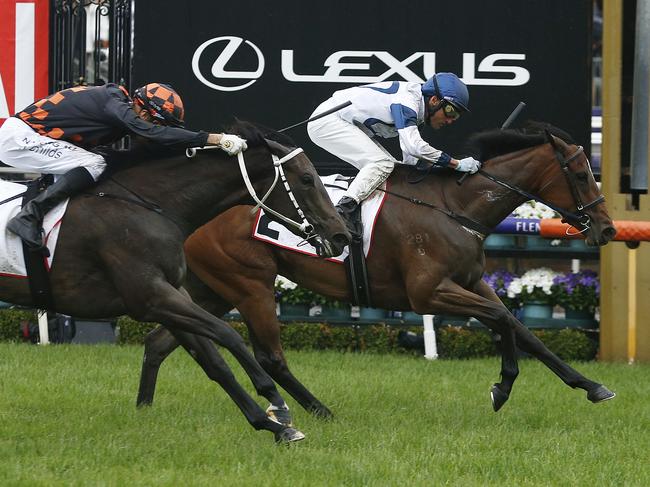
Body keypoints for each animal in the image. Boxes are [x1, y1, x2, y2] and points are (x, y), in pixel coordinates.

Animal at [0, 121, 350, 442]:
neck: (149, 207)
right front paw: (276, 402)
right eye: (307, 179)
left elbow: (212, 361)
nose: (341, 235)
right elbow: (228, 335)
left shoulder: (170, 294)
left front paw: (273, 425)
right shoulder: (150, 296)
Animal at [135, 125, 612, 420]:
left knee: (161, 340)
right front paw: (503, 387)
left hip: (212, 288)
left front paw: (590, 385)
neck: (456, 208)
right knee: (270, 356)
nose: (606, 228)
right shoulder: (428, 292)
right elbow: (500, 320)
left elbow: (519, 327)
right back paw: (319, 411)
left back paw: (144, 407)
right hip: (249, 283)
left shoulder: (472, 281)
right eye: (581, 173)